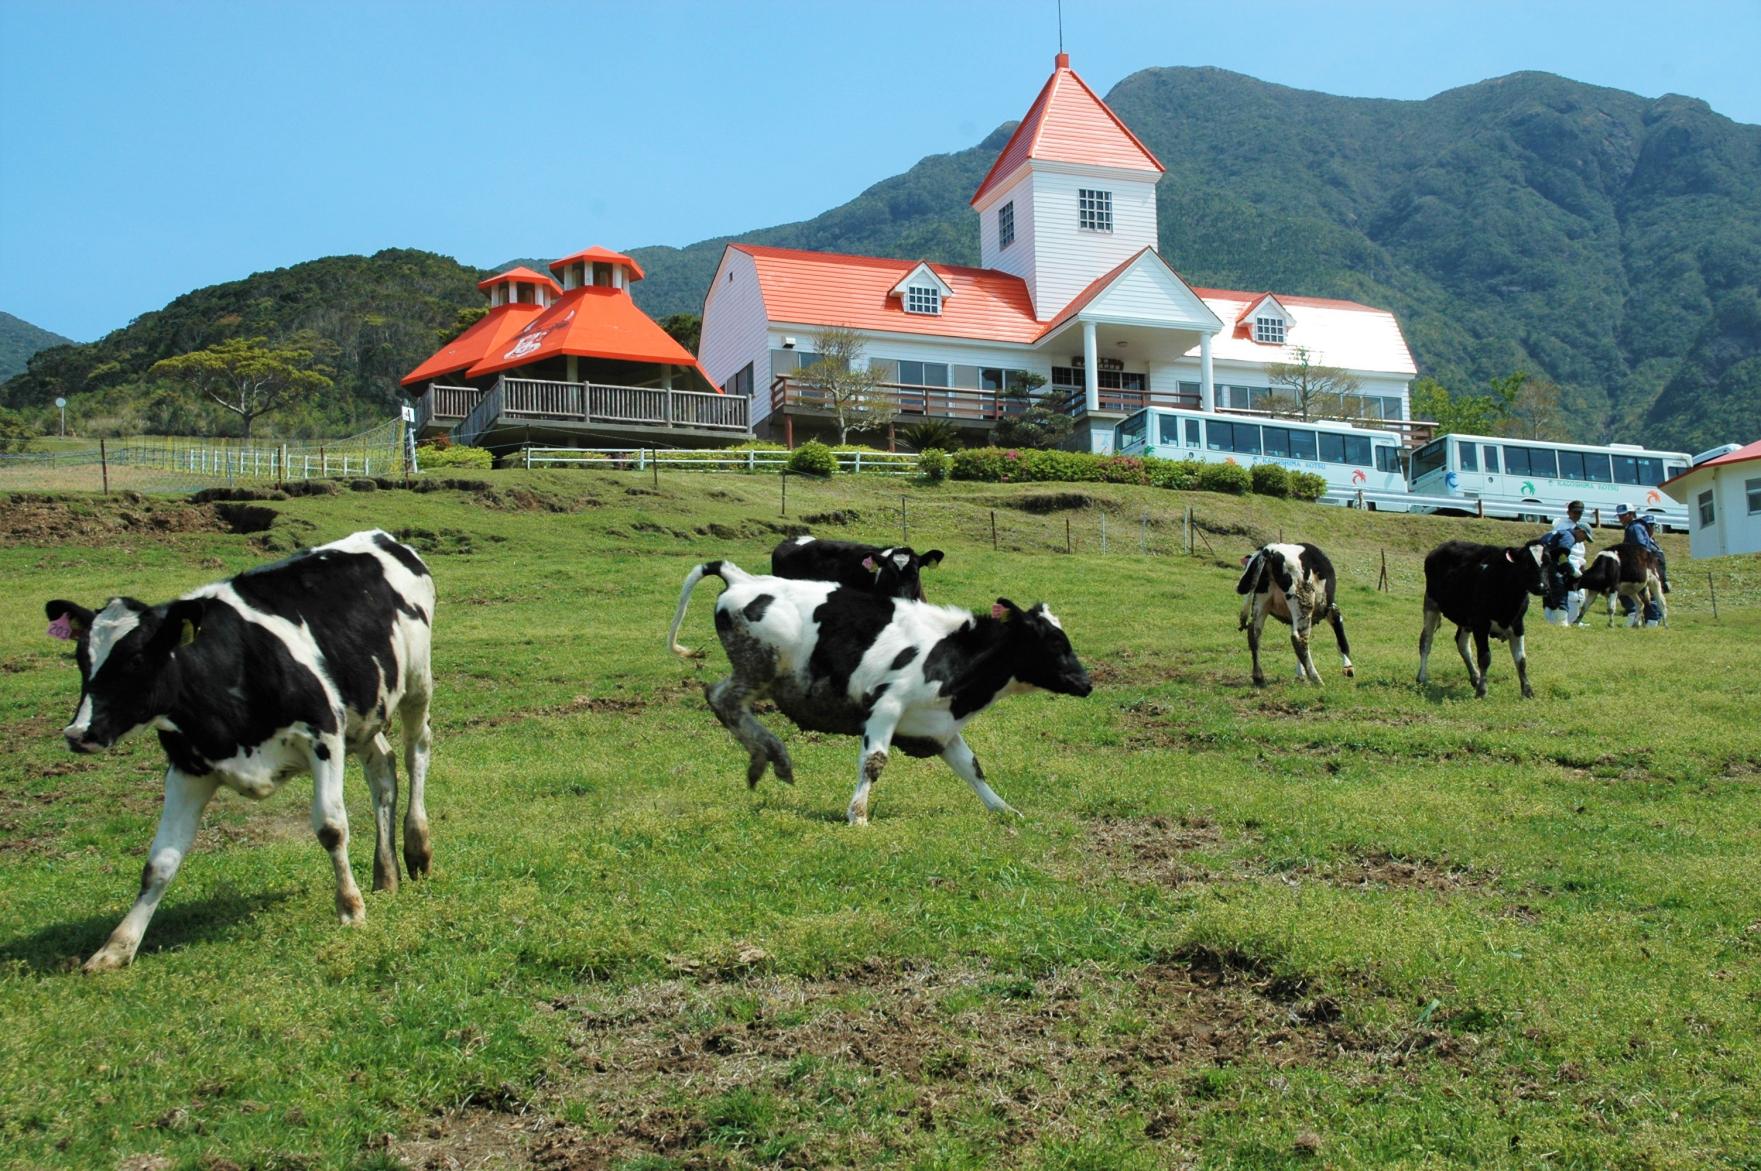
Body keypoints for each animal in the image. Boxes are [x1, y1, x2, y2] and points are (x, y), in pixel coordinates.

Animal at [42, 528, 434, 964]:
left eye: (135, 660)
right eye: (81, 658)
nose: (78, 733)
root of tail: (383, 537)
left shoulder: (324, 736)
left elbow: (332, 827)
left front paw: (350, 909)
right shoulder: (187, 768)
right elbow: (160, 861)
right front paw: (116, 947)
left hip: (416, 684)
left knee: (416, 751)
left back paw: (417, 848)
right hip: (366, 710)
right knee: (382, 769)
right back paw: (386, 874)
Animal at [669, 556, 1091, 820]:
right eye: (1055, 642)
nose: (1086, 683)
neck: (953, 655)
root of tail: (743, 579)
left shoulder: (938, 727)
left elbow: (973, 768)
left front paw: (1004, 810)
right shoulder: (885, 707)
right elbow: (874, 762)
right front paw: (857, 815)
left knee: (721, 699)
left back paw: (768, 758)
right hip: (760, 666)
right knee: (723, 699)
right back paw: (772, 755)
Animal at [1232, 542, 1352, 690]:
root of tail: (1270, 550)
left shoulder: (1292, 619)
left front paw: (1300, 674)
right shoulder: (1332, 609)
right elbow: (1341, 640)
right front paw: (1348, 667)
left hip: (1261, 602)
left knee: (1254, 634)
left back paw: (1259, 678)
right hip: (1303, 603)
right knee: (1299, 639)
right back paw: (1316, 679)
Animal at [1408, 535, 1549, 693]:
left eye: (1548, 563)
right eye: (1527, 564)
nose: (1542, 587)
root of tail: (1440, 547)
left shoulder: (1518, 624)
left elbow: (1521, 660)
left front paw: (1527, 691)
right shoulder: (1480, 624)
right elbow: (1485, 657)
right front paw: (1482, 690)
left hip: (1465, 620)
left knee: (1462, 643)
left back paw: (1475, 676)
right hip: (1431, 604)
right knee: (1426, 641)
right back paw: (1422, 678)